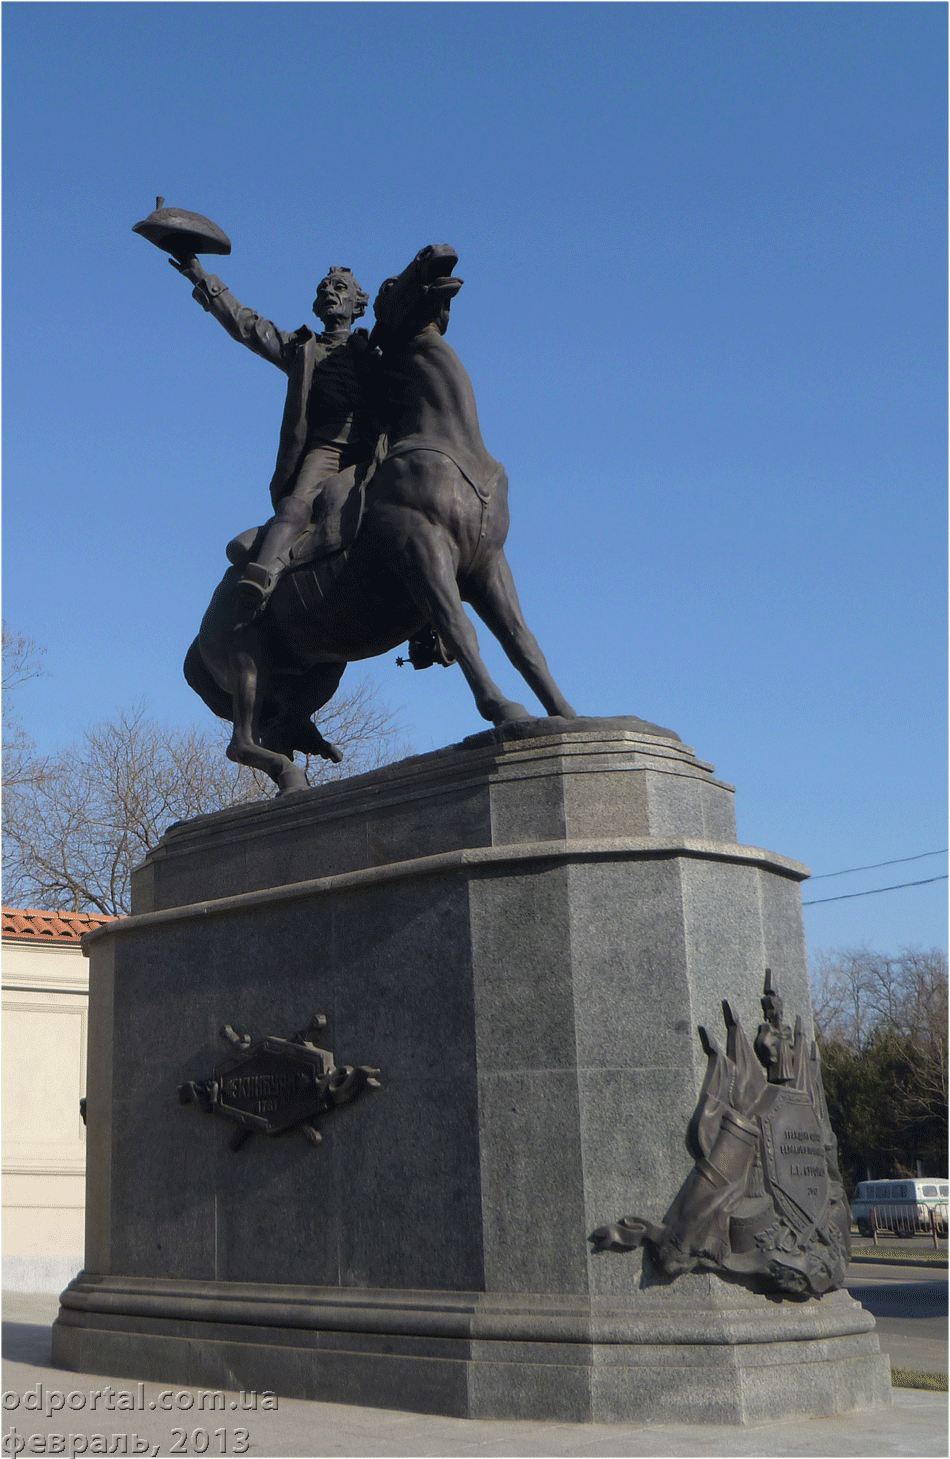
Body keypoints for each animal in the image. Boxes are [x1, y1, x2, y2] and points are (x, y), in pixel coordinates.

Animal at [182, 242, 574, 787]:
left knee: (276, 727)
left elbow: (523, 642)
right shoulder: (421, 550)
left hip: (318, 670)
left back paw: (305, 766)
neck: (453, 444)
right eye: (391, 285)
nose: (436, 250)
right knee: (240, 741)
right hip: (246, 663)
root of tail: (201, 631)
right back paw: (291, 776)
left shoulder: (488, 565)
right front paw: (505, 711)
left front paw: (567, 716)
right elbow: (461, 628)